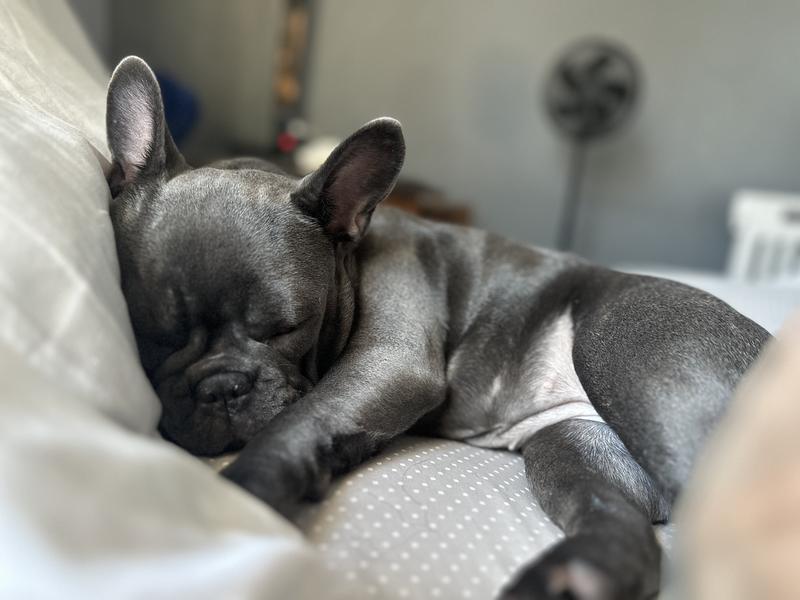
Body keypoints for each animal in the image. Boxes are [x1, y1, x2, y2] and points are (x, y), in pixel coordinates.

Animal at [105, 56, 769, 599]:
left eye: (287, 327)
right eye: (151, 333)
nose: (222, 388)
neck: (354, 253)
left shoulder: (389, 362)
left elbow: (296, 419)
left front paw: (246, 493)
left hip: (636, 354)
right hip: (574, 447)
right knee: (625, 528)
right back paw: (576, 577)